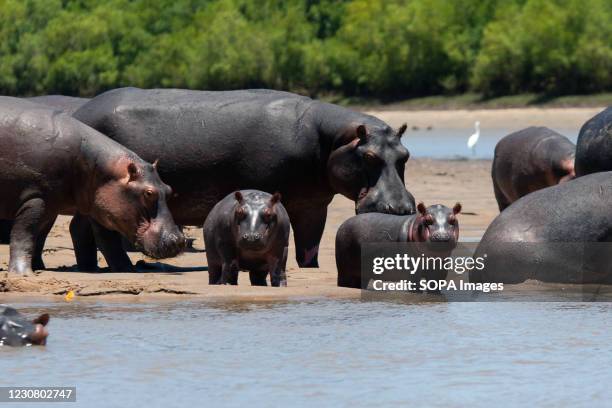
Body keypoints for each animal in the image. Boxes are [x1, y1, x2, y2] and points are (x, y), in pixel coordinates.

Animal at [0, 96, 184, 274]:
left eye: (169, 189)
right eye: (148, 193)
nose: (179, 240)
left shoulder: (78, 206)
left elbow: (106, 241)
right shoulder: (37, 197)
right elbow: (24, 235)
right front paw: (23, 273)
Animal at [71, 87, 416, 270]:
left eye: (405, 154)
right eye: (368, 156)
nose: (399, 208)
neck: (332, 139)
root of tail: (78, 112)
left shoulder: (313, 205)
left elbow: (310, 245)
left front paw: (312, 269)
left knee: (79, 227)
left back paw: (88, 267)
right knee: (103, 232)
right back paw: (124, 267)